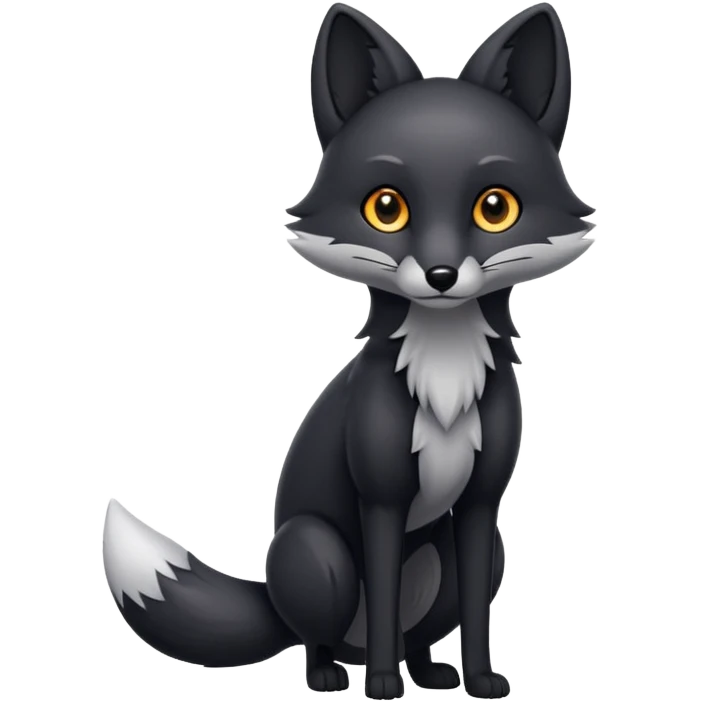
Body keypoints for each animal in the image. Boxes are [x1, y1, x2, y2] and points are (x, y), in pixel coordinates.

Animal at [102, 2, 597, 699]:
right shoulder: (380, 498)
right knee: (320, 636)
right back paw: (336, 674)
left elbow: (478, 614)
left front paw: (481, 679)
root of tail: (273, 602)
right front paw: (384, 686)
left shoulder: (480, 506)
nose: (441, 275)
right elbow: (384, 589)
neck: (444, 374)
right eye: (386, 208)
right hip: (319, 553)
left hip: (465, 558)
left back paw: (430, 672)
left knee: (419, 628)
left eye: (495, 207)